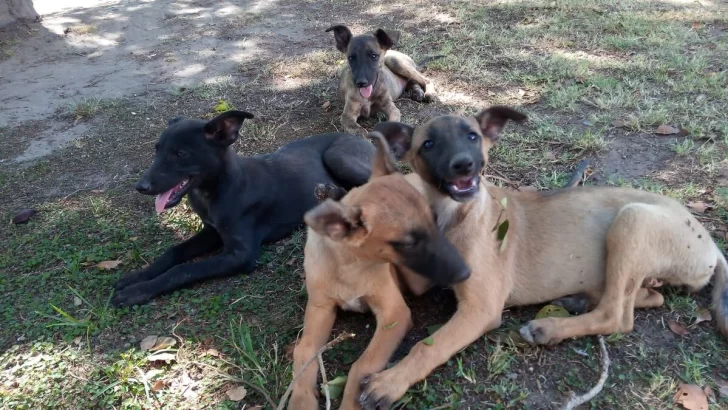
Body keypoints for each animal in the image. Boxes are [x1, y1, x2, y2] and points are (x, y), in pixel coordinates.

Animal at [115, 110, 376, 306]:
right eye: (157, 149)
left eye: (181, 153)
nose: (141, 186)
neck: (216, 189)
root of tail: (365, 139)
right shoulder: (212, 232)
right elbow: (173, 253)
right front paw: (135, 277)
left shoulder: (241, 254)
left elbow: (183, 270)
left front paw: (137, 292)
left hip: (338, 156)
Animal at [288, 133, 470, 408]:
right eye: (407, 243)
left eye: (434, 219)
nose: (466, 273)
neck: (349, 266)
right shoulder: (320, 309)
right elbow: (304, 351)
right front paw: (301, 400)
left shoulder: (394, 314)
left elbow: (362, 364)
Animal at [354, 107, 728, 408]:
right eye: (428, 144)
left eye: (472, 136)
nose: (463, 165)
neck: (454, 216)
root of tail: (712, 246)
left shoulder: (481, 308)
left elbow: (429, 345)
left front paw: (390, 382)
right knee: (646, 296)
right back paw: (580, 299)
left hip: (632, 220)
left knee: (617, 316)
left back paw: (549, 328)